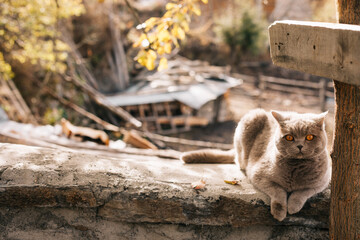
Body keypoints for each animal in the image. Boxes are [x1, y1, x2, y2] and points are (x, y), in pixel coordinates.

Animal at [181, 109, 330, 221]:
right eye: (289, 137)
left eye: (309, 137)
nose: (299, 146)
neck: (296, 167)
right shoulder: (259, 175)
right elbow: (278, 191)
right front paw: (279, 212)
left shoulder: (321, 182)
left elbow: (302, 192)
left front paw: (293, 207)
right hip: (252, 119)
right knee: (239, 159)